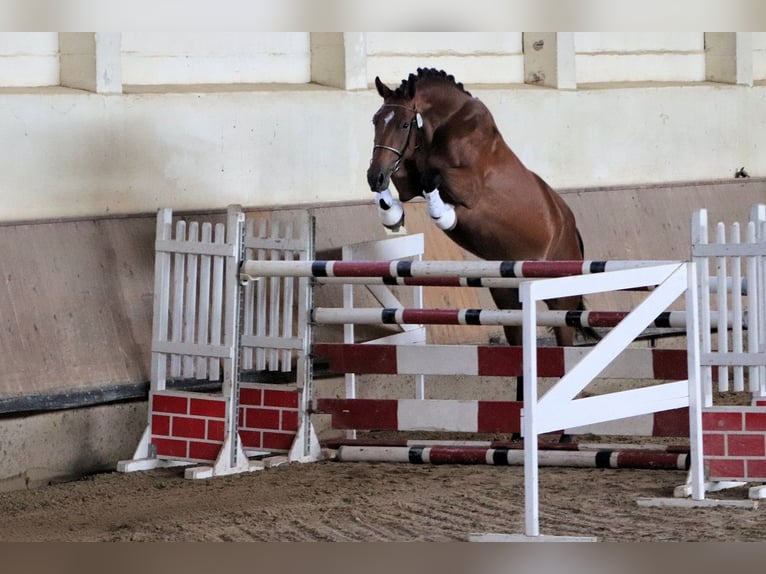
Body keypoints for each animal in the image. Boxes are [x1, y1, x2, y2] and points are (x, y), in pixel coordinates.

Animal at [368, 70, 592, 384]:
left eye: (403, 124)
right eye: (375, 121)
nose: (373, 175)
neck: (444, 126)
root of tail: (572, 230)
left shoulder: (467, 187)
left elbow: (432, 176)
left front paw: (441, 213)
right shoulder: (408, 179)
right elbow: (404, 182)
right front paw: (392, 214)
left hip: (561, 300)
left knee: (565, 340)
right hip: (508, 298)